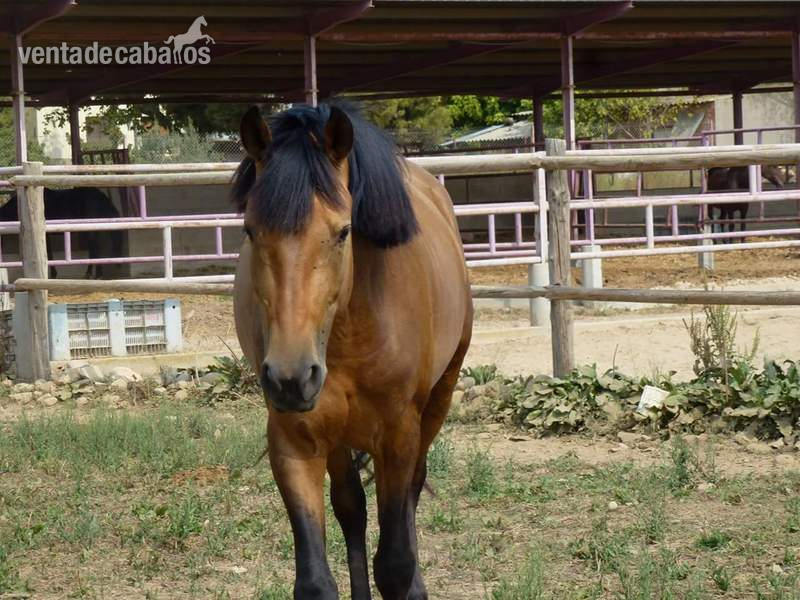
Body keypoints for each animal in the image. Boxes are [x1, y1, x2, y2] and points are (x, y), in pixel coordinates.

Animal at [231, 102, 473, 599]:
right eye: (250, 230)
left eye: (343, 232)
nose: (291, 376)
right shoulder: (293, 440)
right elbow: (316, 579)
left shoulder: (399, 434)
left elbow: (395, 563)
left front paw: (411, 582)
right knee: (352, 509)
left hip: (438, 399)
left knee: (412, 492)